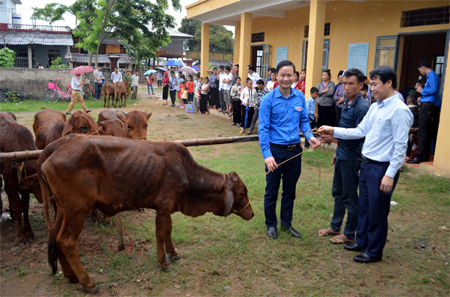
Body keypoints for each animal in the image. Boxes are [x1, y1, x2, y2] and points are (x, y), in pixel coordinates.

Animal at [0, 111, 42, 243]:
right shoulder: (10, 182)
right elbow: (19, 207)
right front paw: (21, 236)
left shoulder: (24, 187)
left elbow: (25, 207)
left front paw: (29, 232)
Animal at [36, 134, 253, 292]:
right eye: (243, 193)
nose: (251, 214)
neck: (186, 172)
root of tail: (56, 145)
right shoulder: (164, 206)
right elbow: (161, 233)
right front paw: (164, 262)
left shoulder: (167, 208)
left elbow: (168, 231)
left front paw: (173, 254)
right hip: (78, 209)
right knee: (66, 241)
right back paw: (88, 282)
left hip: (64, 210)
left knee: (56, 237)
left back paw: (71, 276)